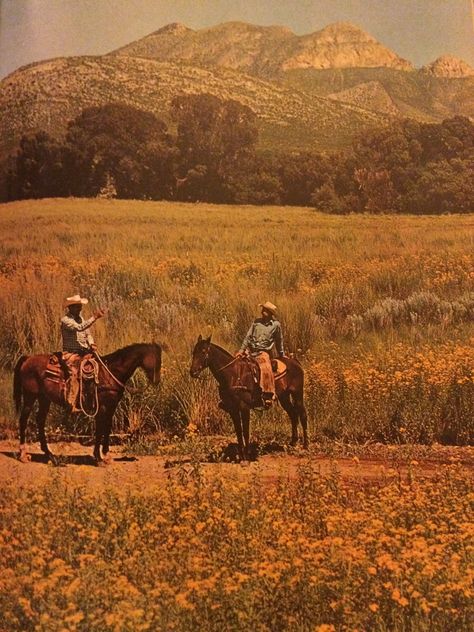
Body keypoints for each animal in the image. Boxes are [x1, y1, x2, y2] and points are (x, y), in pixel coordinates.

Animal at [13, 344, 161, 466]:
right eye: (155, 359)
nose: (157, 381)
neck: (110, 372)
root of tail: (27, 358)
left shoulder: (111, 406)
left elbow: (107, 428)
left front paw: (105, 455)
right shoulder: (102, 407)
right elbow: (100, 429)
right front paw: (99, 458)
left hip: (44, 398)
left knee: (40, 420)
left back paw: (50, 455)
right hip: (30, 396)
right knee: (23, 420)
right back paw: (23, 455)